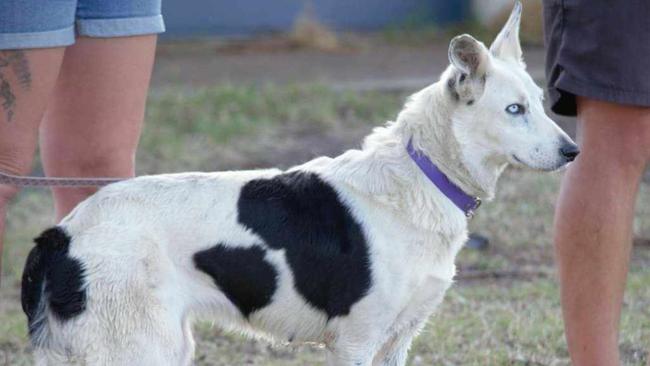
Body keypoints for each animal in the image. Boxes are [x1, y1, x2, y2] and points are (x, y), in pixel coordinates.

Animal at [21, 3, 576, 366]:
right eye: (514, 110)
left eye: (539, 102)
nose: (573, 152)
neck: (423, 172)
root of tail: (62, 235)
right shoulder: (357, 343)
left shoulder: (397, 341)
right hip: (142, 350)